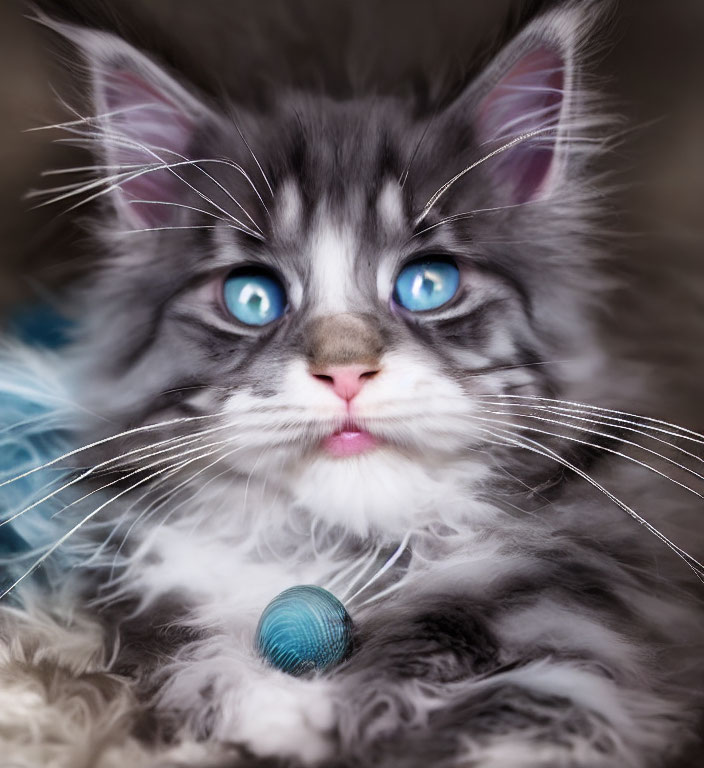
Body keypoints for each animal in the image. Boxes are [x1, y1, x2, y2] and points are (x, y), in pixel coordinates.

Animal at [1, 0, 704, 764]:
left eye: (429, 284)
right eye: (253, 296)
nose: (345, 370)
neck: (333, 555)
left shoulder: (584, 616)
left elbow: (519, 702)